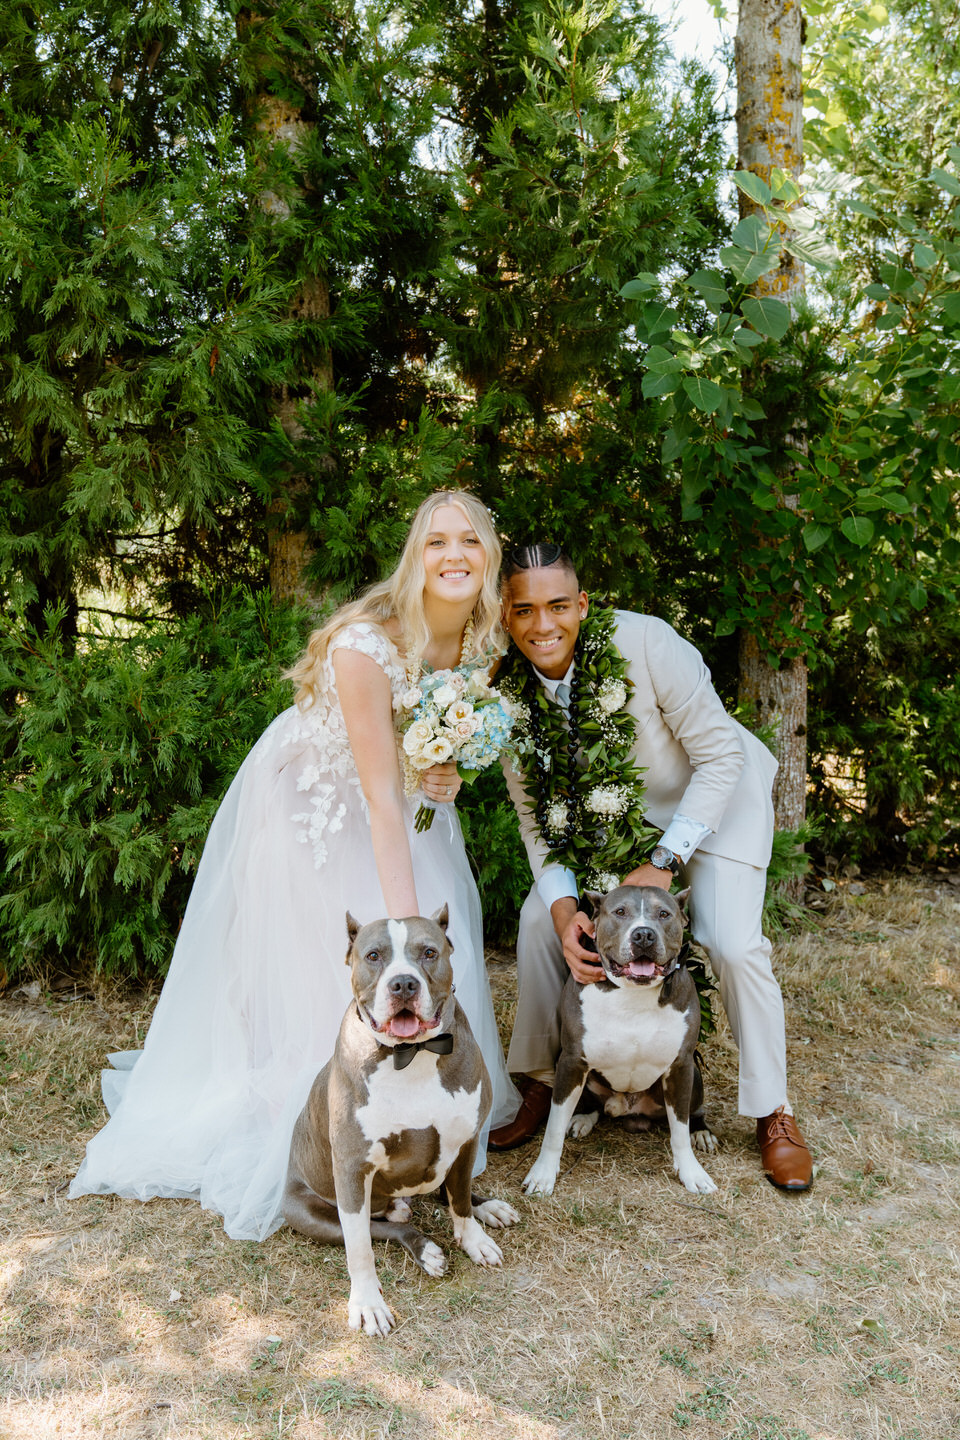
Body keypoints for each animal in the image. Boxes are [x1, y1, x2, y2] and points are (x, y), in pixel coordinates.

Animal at [283, 910, 518, 1336]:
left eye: (429, 952)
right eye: (374, 955)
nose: (404, 983)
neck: (413, 1055)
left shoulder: (466, 1140)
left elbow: (460, 1199)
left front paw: (473, 1238)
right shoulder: (352, 1169)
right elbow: (359, 1248)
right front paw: (367, 1303)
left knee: (445, 1191)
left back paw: (488, 1207)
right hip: (307, 1212)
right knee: (380, 1227)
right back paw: (419, 1244)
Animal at [521, 881, 716, 1198]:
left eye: (664, 914)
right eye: (620, 912)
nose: (644, 934)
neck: (633, 994)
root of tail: (628, 1108)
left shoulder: (680, 1067)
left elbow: (680, 1129)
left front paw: (691, 1172)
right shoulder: (572, 1061)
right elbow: (553, 1127)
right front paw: (542, 1174)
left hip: (695, 1075)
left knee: (694, 1112)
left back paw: (702, 1131)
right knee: (592, 1106)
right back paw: (581, 1118)